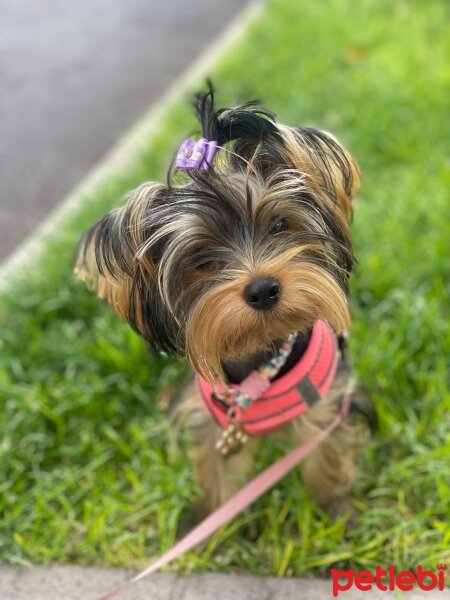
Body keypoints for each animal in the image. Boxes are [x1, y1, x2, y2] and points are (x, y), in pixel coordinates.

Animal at [75, 83, 374, 520]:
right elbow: (214, 472)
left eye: (279, 224)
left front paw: (336, 515)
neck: (257, 361)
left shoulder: (328, 404)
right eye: (201, 260)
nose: (263, 288)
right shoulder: (213, 424)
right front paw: (208, 522)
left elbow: (326, 459)